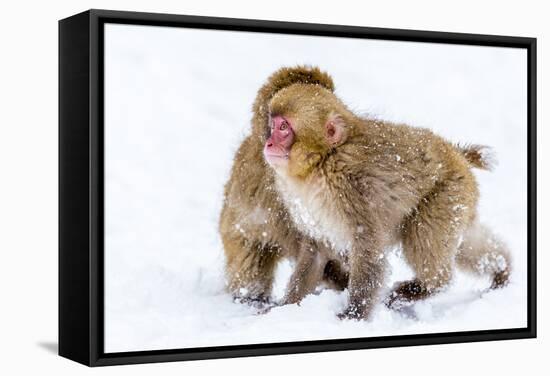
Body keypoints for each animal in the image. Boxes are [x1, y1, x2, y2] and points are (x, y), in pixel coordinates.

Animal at [264, 71, 512, 320]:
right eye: (272, 125)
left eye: (284, 127)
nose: (268, 142)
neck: (320, 163)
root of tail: (457, 154)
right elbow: (315, 252)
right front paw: (285, 307)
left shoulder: (352, 191)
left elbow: (368, 250)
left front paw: (353, 315)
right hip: (460, 201)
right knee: (464, 243)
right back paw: (501, 267)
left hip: (446, 195)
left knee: (425, 239)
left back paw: (425, 287)